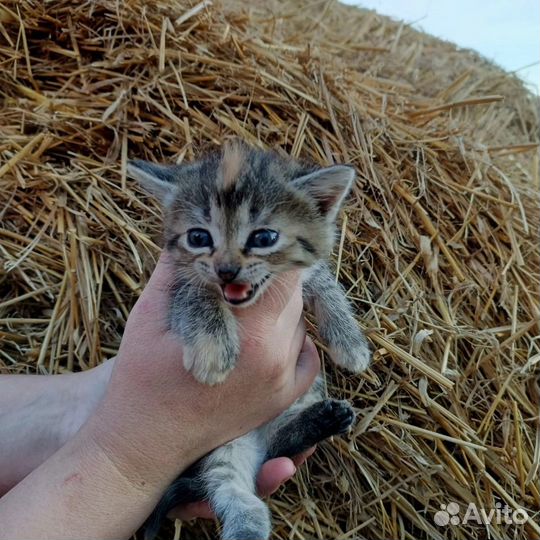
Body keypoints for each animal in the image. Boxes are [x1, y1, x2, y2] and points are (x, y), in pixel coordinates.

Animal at [127, 141, 372, 536]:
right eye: (198, 238)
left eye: (264, 238)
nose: (226, 270)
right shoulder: (175, 282)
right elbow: (196, 292)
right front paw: (214, 352)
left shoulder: (305, 273)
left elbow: (327, 286)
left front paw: (350, 344)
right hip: (222, 452)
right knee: (236, 495)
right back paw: (246, 524)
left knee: (279, 444)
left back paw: (322, 420)